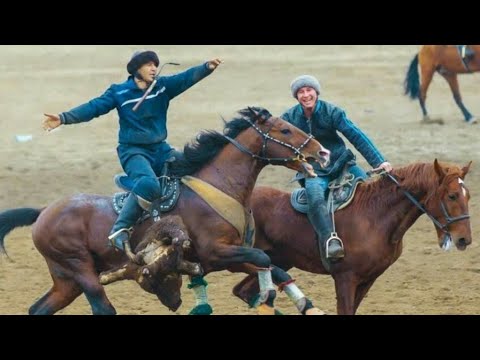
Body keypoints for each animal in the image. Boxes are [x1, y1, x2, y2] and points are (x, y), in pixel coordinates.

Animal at [230, 160, 472, 316]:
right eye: (452, 196)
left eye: (468, 195)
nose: (464, 239)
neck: (374, 216)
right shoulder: (346, 278)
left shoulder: (368, 278)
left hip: (280, 259)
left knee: (245, 291)